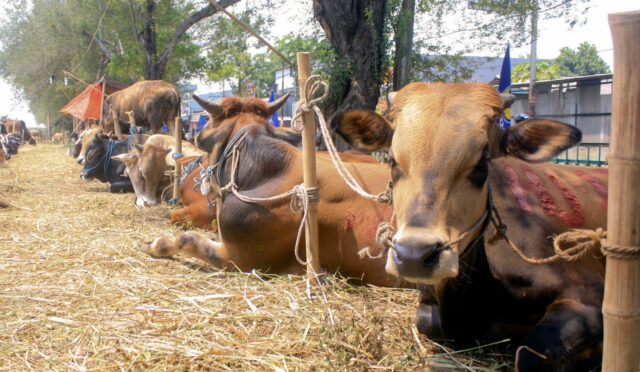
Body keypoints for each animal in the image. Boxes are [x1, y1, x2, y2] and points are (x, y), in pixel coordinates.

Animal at [336, 80, 608, 372]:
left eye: (482, 163)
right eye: (392, 160)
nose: (414, 256)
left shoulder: (588, 295)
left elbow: (530, 353)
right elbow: (427, 322)